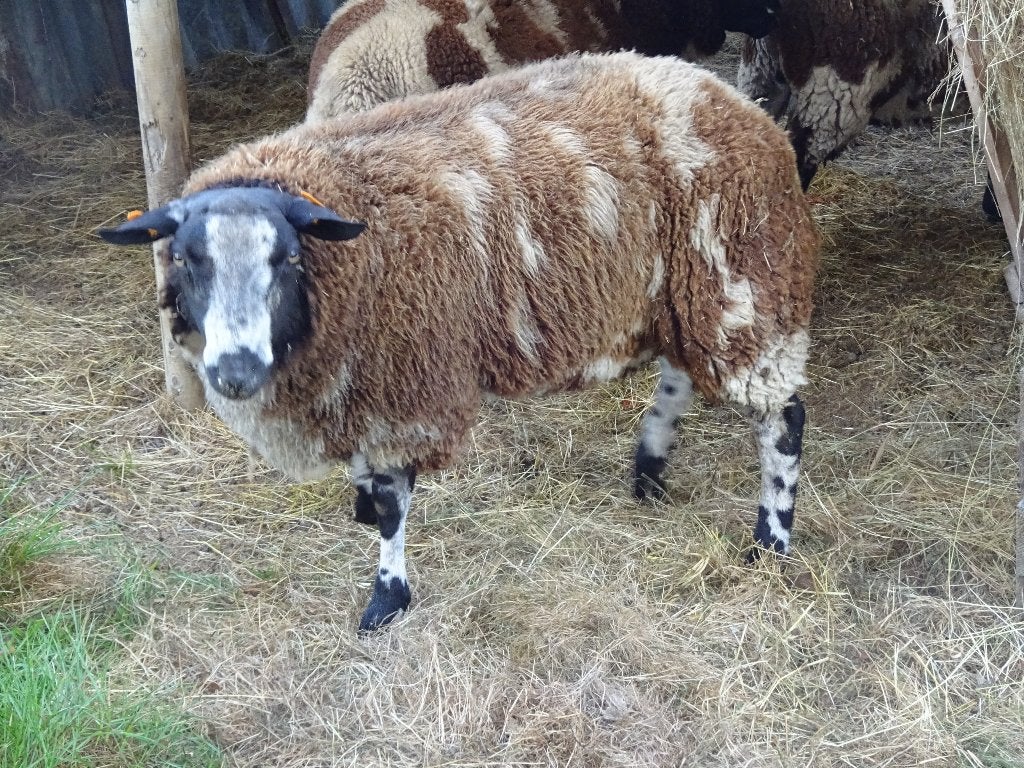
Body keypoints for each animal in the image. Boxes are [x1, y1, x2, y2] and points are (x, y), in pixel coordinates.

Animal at [100, 51, 820, 632]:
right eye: (185, 259)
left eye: (288, 260)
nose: (235, 371)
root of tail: (735, 101)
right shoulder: (362, 385)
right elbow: (369, 481)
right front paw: (360, 507)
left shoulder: (404, 388)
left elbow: (394, 504)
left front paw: (387, 598)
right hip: (689, 289)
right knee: (680, 373)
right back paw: (649, 467)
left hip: (745, 282)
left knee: (782, 419)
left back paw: (770, 540)